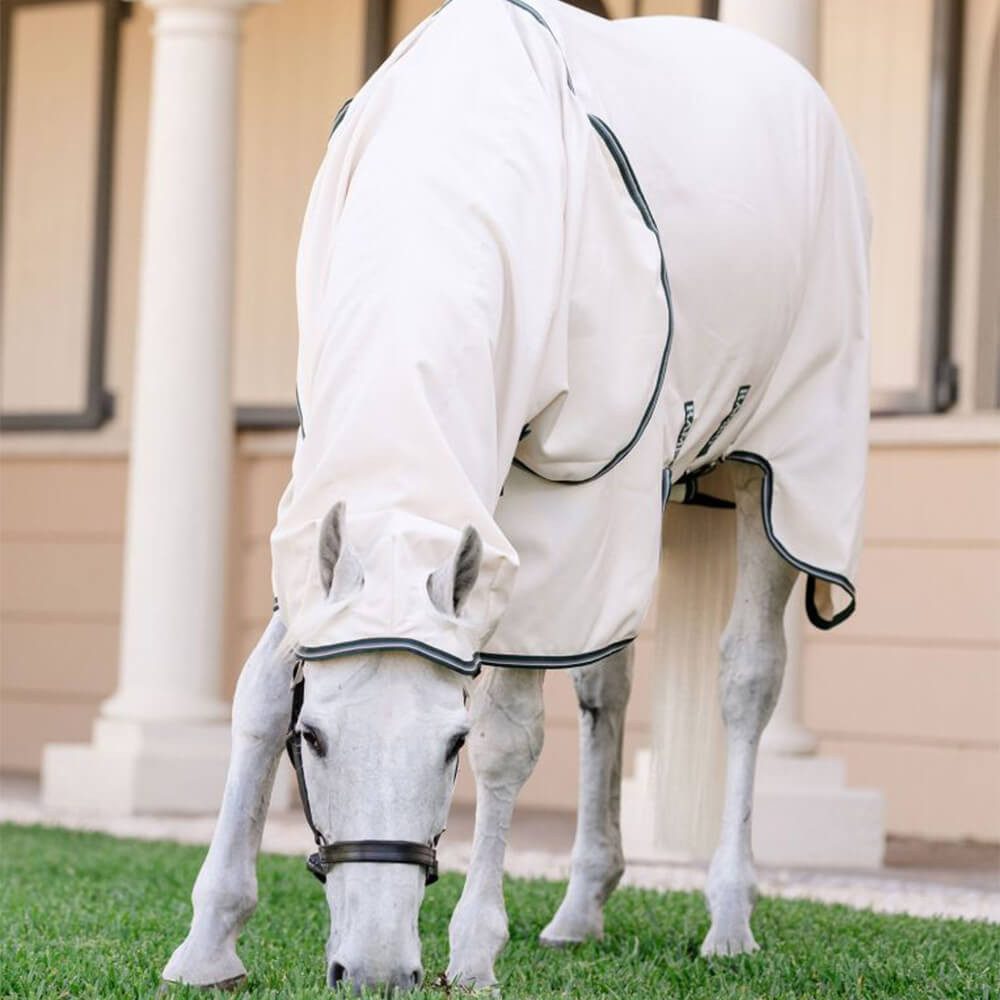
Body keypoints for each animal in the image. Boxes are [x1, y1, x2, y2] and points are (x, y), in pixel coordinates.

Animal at [162, 0, 870, 992]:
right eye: (317, 739)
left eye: (449, 746)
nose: (376, 971)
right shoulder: (326, 503)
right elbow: (259, 691)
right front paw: (207, 942)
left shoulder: (573, 500)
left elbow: (513, 734)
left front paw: (473, 951)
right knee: (606, 684)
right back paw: (580, 911)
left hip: (775, 474)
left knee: (747, 677)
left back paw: (729, 920)